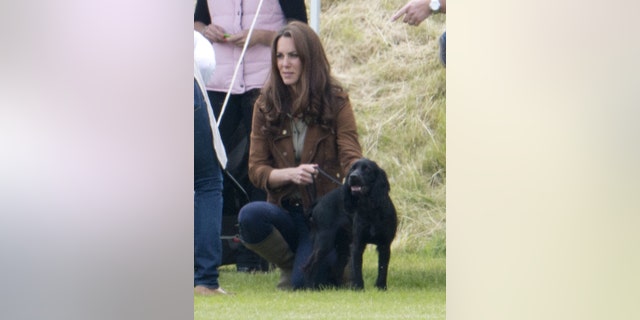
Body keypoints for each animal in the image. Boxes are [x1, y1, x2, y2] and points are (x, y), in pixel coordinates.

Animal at [304, 158, 398, 290]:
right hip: (324, 242)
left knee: (336, 268)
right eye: (352, 169)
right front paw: (358, 287)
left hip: (342, 246)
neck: (370, 209)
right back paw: (309, 288)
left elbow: (382, 268)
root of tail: (319, 201)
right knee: (310, 265)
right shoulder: (357, 244)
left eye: (367, 169)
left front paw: (381, 287)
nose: (353, 177)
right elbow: (357, 268)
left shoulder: (384, 244)